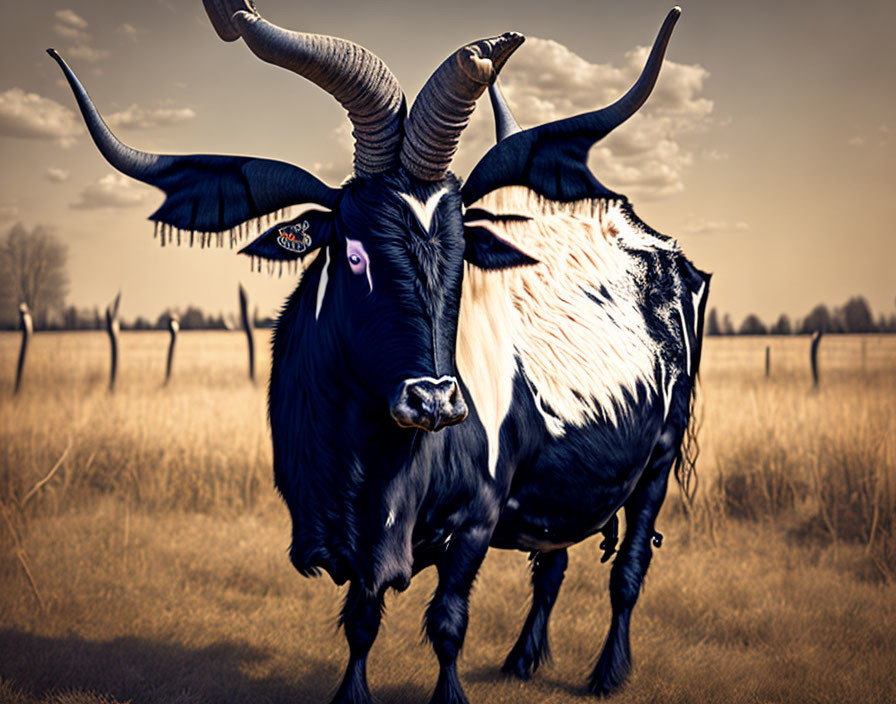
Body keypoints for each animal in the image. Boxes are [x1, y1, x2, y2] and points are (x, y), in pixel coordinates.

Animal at [52, 1, 712, 700]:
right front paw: (353, 691)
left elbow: (449, 623)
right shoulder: (352, 538)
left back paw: (608, 672)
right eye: (353, 249)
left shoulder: (475, 522)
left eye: (461, 252)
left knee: (627, 571)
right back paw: (523, 660)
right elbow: (361, 624)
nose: (435, 400)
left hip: (658, 460)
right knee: (552, 563)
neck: (362, 464)